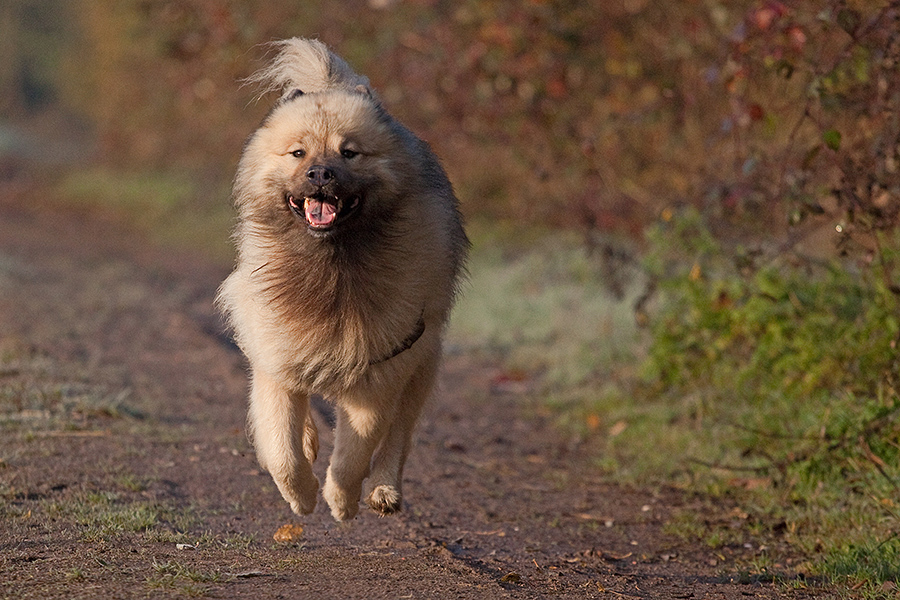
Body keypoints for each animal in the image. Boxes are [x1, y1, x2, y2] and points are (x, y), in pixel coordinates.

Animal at [218, 38, 468, 520]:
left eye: (349, 152)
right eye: (298, 153)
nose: (320, 174)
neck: (330, 264)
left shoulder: (378, 373)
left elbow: (355, 453)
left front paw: (340, 501)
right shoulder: (277, 360)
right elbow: (282, 450)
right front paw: (301, 496)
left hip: (421, 361)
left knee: (399, 435)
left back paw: (385, 490)